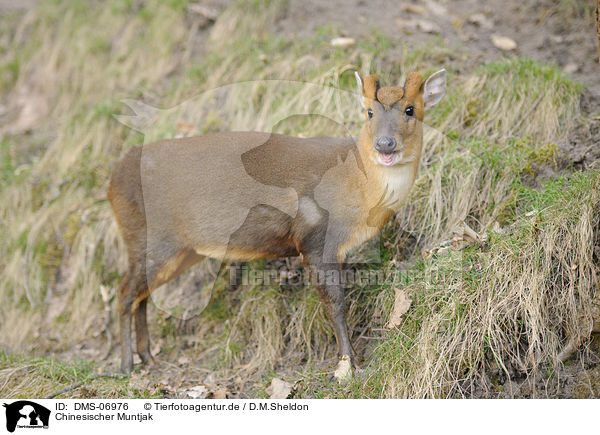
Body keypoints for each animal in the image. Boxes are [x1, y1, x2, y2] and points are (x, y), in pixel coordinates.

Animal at [109, 68, 446, 378]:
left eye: (410, 109)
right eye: (369, 111)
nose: (385, 144)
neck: (357, 185)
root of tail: (113, 178)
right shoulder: (315, 238)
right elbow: (335, 304)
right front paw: (348, 365)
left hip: (181, 251)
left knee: (141, 295)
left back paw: (147, 356)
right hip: (150, 237)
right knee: (124, 292)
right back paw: (125, 365)